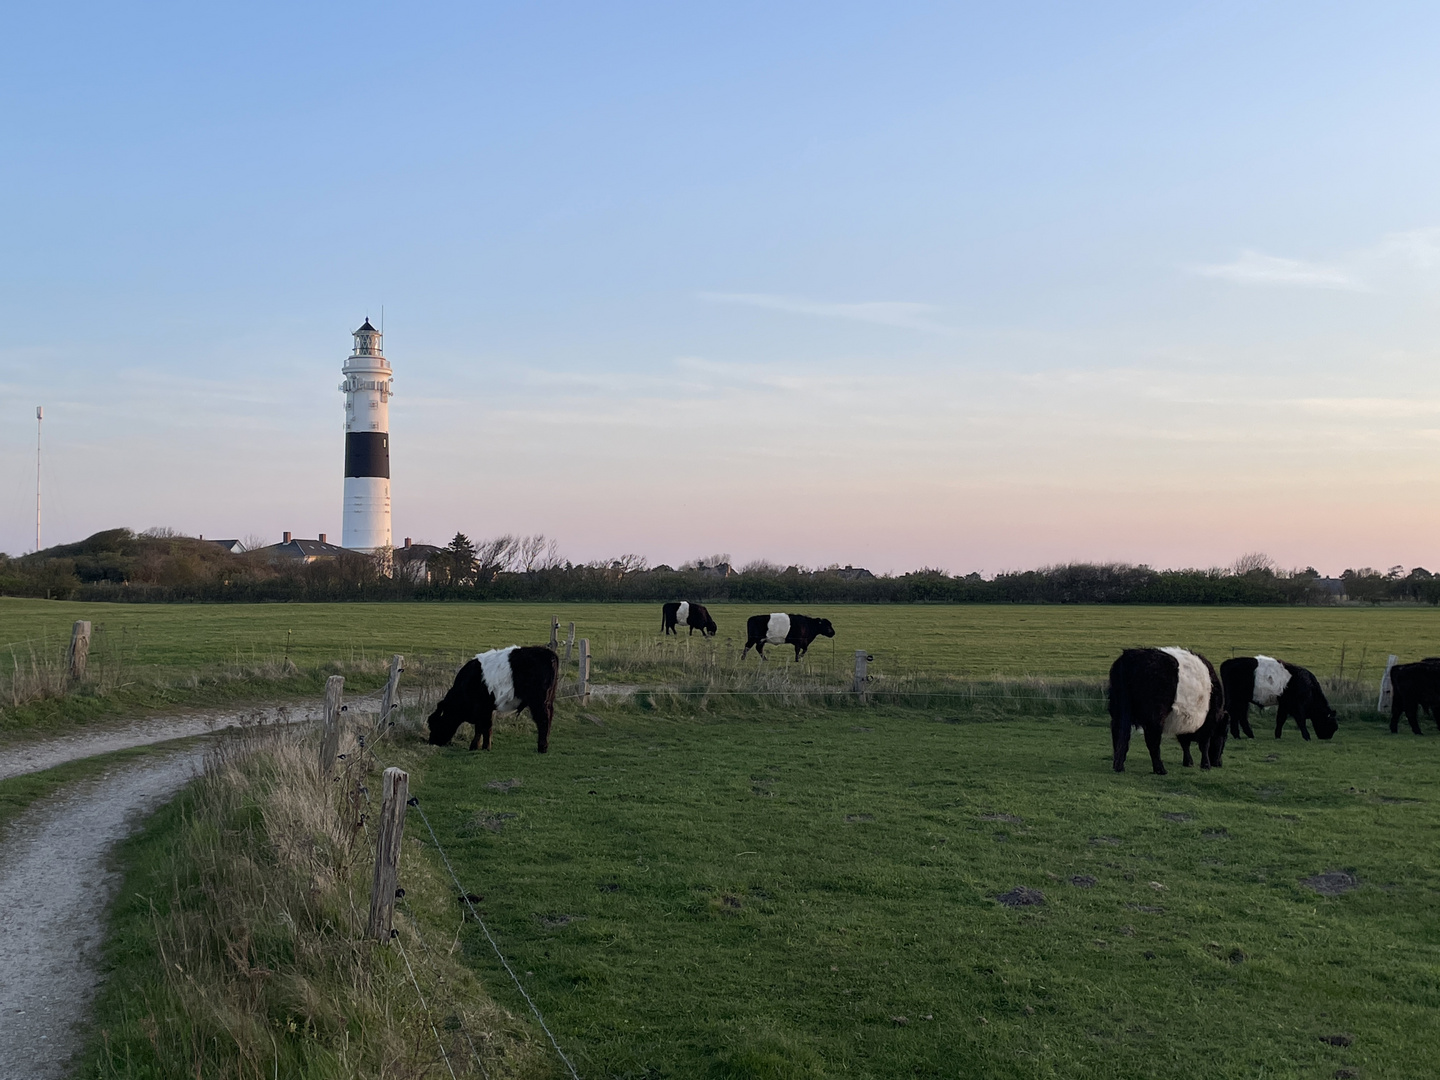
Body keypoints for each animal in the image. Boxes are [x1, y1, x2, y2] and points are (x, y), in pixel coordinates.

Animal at [423, 648, 558, 754]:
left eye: (434, 723)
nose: (432, 741)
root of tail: (549, 653)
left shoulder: (481, 708)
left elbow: (483, 727)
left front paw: (481, 747)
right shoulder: (486, 708)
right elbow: (484, 727)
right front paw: (479, 746)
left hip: (538, 702)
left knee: (543, 720)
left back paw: (542, 748)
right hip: (548, 701)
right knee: (549, 718)